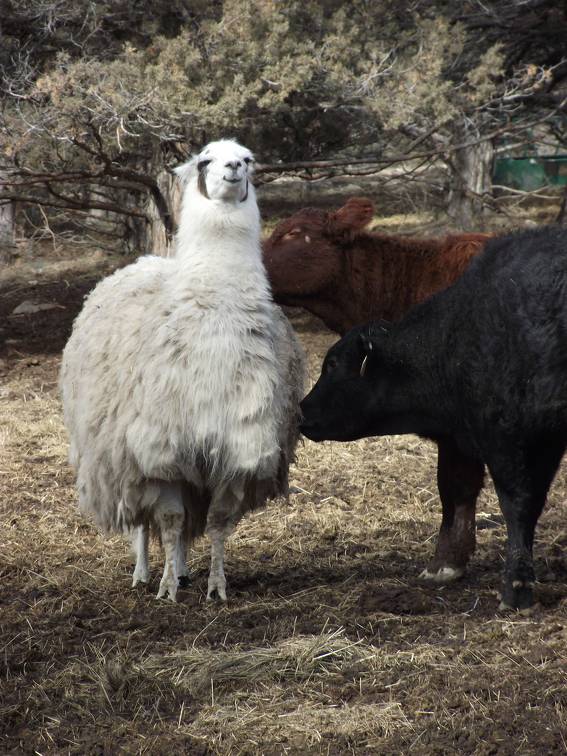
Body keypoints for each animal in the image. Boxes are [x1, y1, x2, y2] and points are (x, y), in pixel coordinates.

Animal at [304, 227, 567, 612]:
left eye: (333, 364)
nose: (302, 410)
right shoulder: (545, 443)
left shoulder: (506, 438)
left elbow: (517, 505)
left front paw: (515, 587)